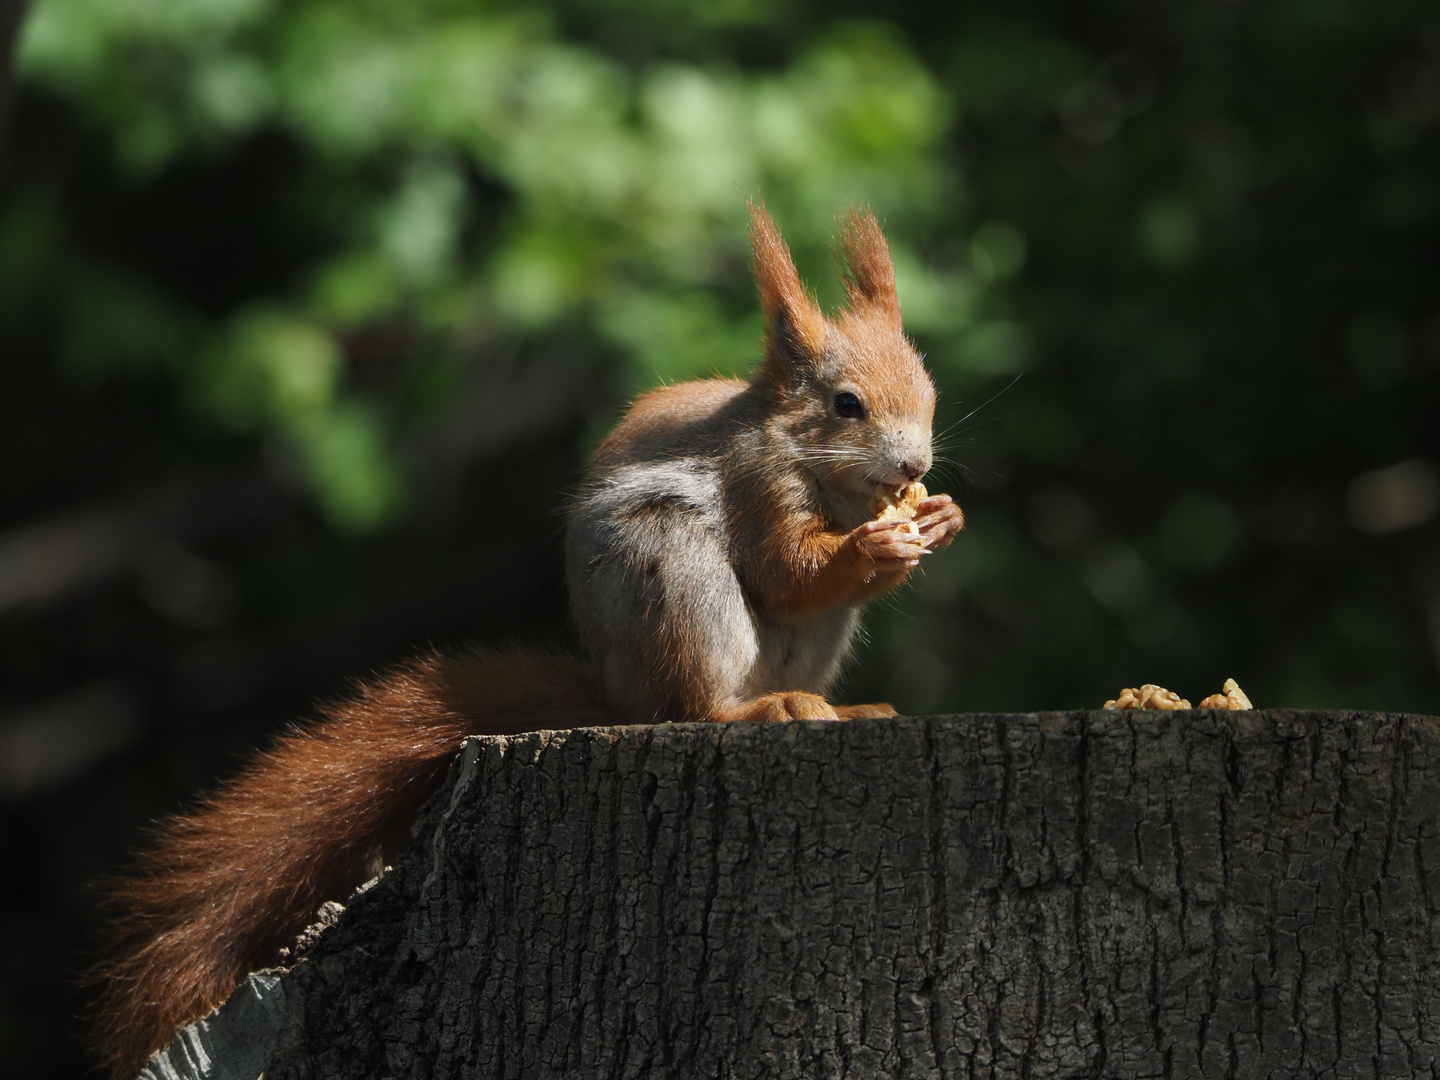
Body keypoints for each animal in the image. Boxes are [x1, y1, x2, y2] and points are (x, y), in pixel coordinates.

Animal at [90, 204, 967, 1080]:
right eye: (847, 404)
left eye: (929, 391)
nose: (914, 463)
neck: (826, 474)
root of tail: (615, 695)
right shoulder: (756, 484)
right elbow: (786, 571)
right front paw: (871, 548)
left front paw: (941, 517)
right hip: (673, 575)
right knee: (694, 704)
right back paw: (751, 711)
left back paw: (844, 708)